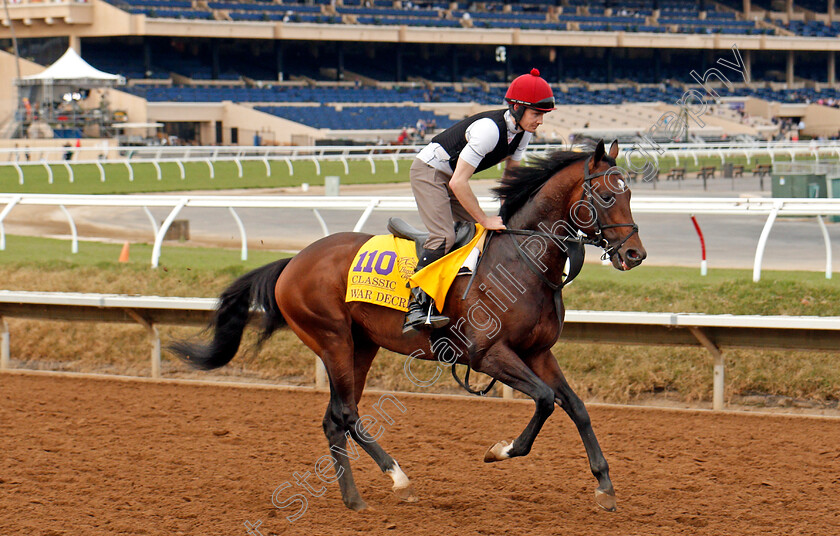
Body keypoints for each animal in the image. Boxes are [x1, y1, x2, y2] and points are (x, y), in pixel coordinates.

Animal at [169, 140, 644, 512]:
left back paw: (354, 497)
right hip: (332, 339)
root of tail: (293, 262)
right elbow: (545, 400)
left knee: (334, 418)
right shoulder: (488, 355)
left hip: (361, 345)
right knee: (347, 413)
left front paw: (604, 486)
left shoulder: (538, 352)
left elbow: (576, 406)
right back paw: (398, 478)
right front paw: (500, 451)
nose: (635, 254)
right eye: (606, 195)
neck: (523, 261)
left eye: (630, 192)